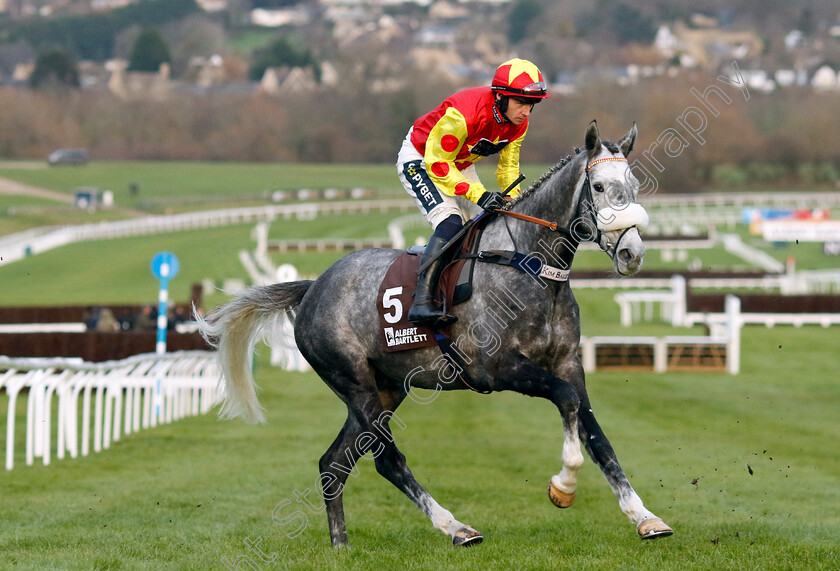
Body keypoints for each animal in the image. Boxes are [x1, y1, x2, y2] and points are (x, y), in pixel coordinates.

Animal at [199, 122, 676, 548]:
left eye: (633, 184)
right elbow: (568, 402)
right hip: (354, 382)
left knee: (333, 463)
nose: (632, 253)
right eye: (598, 186)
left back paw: (341, 545)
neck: (531, 265)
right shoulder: (498, 368)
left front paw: (645, 517)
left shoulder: (567, 362)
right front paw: (564, 484)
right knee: (387, 461)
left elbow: (596, 433)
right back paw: (456, 528)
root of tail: (314, 286)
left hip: (386, 388)